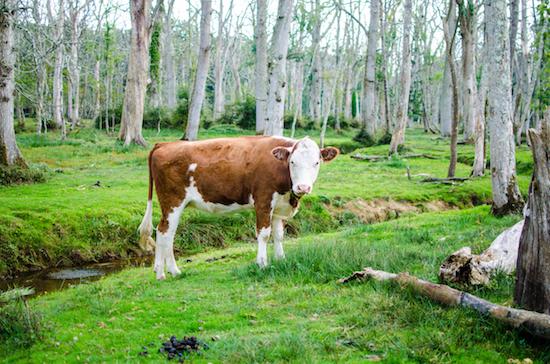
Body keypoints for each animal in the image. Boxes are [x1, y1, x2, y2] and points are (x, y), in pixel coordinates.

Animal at [138, 135, 340, 280]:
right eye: (292, 162)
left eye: (316, 162)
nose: (303, 187)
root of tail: (165, 144)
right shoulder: (263, 201)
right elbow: (264, 234)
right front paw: (262, 264)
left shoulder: (278, 207)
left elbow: (279, 235)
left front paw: (281, 259)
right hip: (172, 202)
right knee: (165, 232)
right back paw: (166, 272)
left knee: (164, 232)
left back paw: (165, 270)